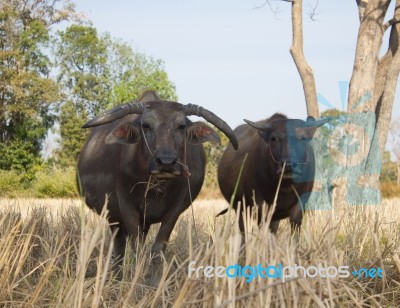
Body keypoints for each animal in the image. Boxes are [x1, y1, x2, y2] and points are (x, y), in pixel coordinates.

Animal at [78, 90, 238, 286]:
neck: (156, 188)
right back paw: (116, 277)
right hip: (112, 217)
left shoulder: (174, 210)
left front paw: (154, 283)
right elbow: (137, 249)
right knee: (119, 246)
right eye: (146, 126)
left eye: (181, 126)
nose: (166, 162)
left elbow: (157, 249)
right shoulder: (126, 207)